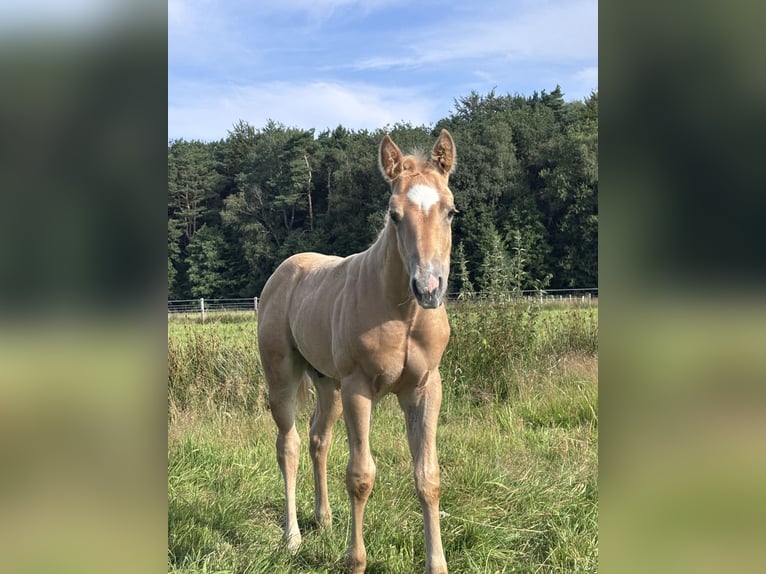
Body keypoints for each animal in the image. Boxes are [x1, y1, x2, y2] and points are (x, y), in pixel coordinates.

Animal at [257, 129, 457, 574]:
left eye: (452, 212)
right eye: (394, 214)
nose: (428, 288)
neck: (402, 313)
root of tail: (286, 268)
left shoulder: (425, 387)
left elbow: (428, 477)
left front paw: (437, 564)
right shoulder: (358, 388)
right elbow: (361, 475)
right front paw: (355, 560)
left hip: (327, 383)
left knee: (318, 439)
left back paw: (324, 518)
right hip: (284, 376)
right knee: (289, 445)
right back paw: (292, 537)